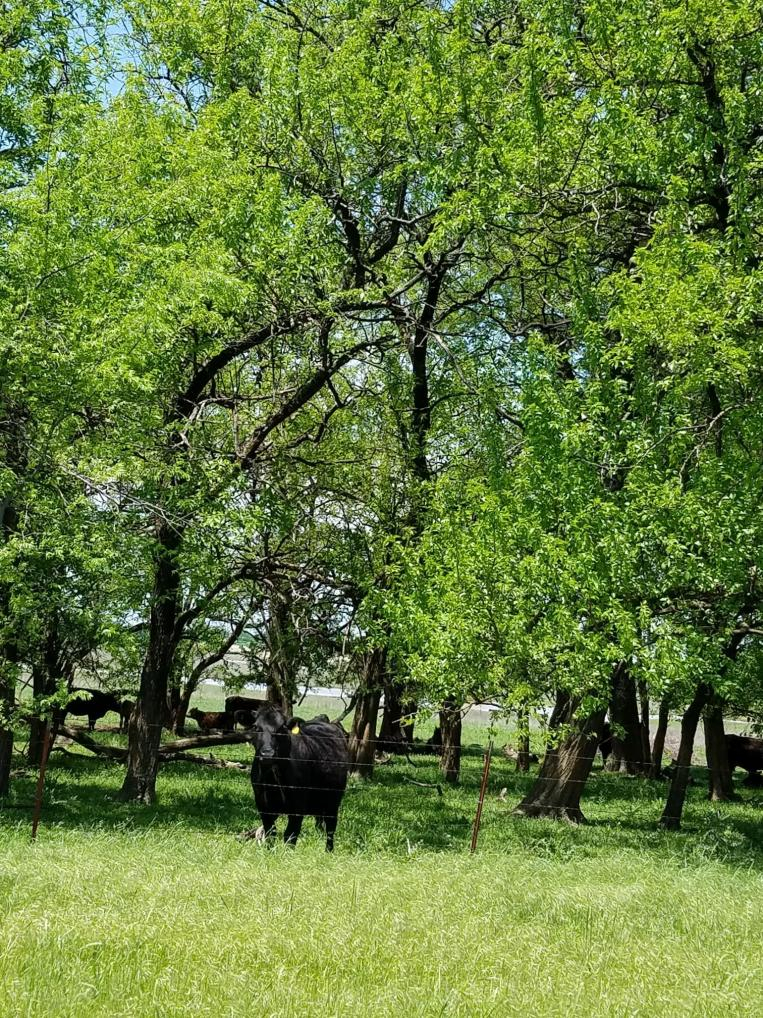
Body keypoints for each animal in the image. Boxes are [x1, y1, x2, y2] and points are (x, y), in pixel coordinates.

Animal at [243, 704, 349, 851]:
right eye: (256, 727)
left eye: (281, 728)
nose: (267, 754)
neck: (273, 778)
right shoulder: (263, 804)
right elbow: (270, 831)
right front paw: (269, 851)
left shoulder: (298, 806)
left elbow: (291, 834)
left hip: (333, 801)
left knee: (330, 828)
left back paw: (329, 851)